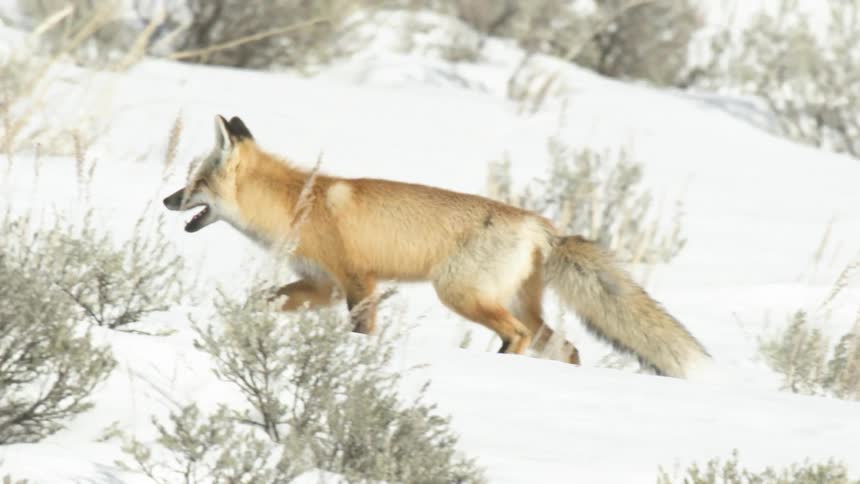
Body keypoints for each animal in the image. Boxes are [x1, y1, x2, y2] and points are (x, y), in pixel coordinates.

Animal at [163, 115, 710, 378]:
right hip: (515, 304)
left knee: (518, 337)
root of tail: (541, 226)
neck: (297, 203)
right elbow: (263, 301)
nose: (166, 199)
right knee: (565, 346)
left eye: (194, 183)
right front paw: (241, 323)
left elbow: (361, 332)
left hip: (460, 294)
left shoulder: (359, 280)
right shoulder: (321, 285)